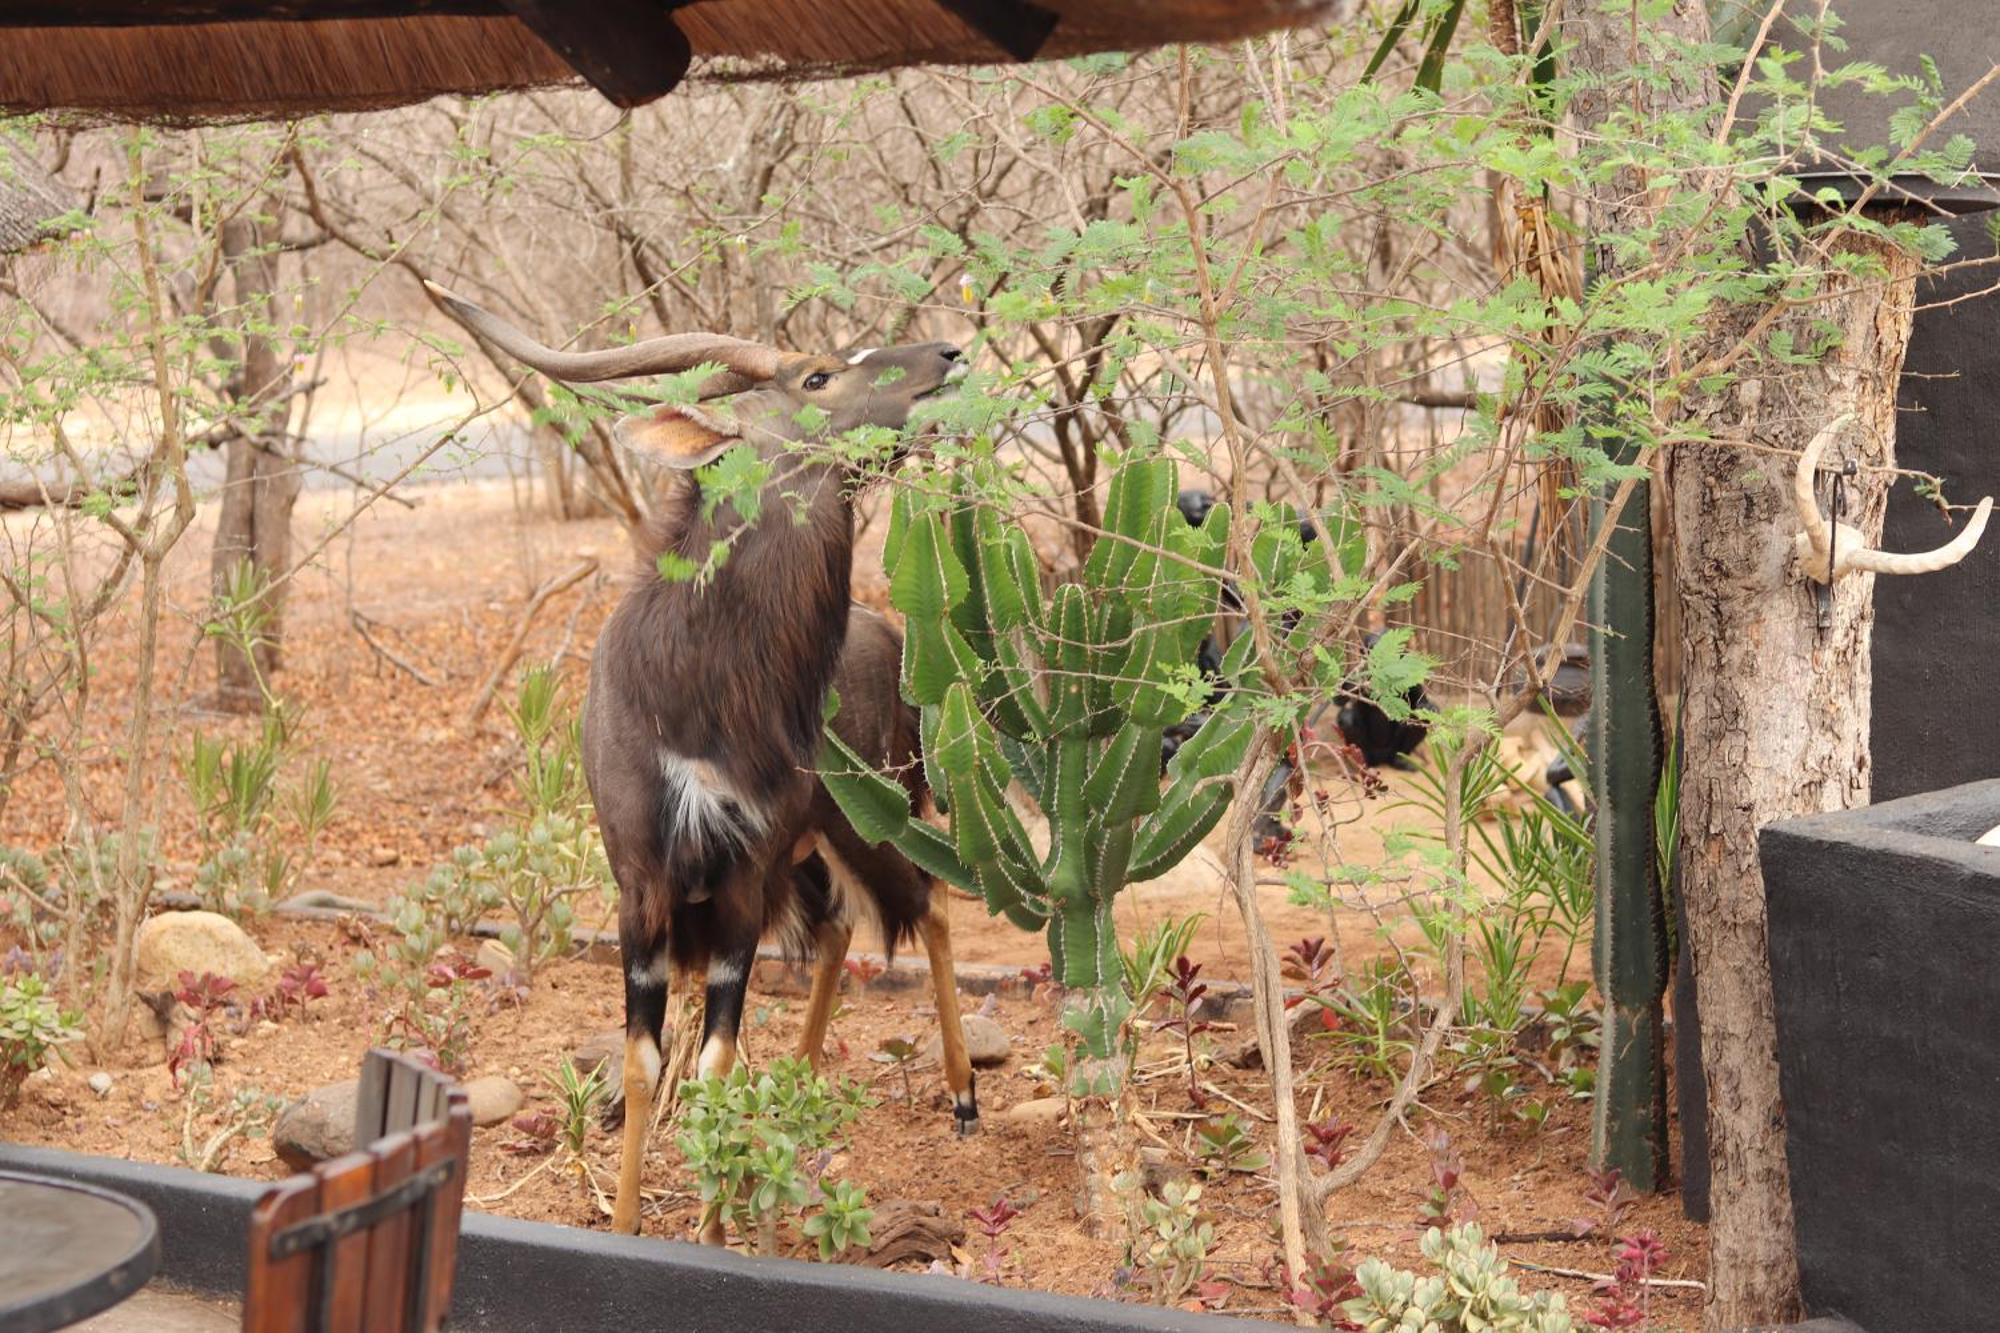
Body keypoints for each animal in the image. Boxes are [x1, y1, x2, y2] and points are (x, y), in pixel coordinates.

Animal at [426, 280, 980, 1232]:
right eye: (817, 374)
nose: (948, 354)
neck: (697, 690)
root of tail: (888, 635)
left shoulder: (740, 883)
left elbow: (715, 1061)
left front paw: (711, 1229)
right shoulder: (642, 888)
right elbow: (647, 1060)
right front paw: (626, 1222)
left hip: (880, 816)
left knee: (932, 903)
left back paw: (963, 1094)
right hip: (817, 849)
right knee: (842, 927)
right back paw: (799, 1085)